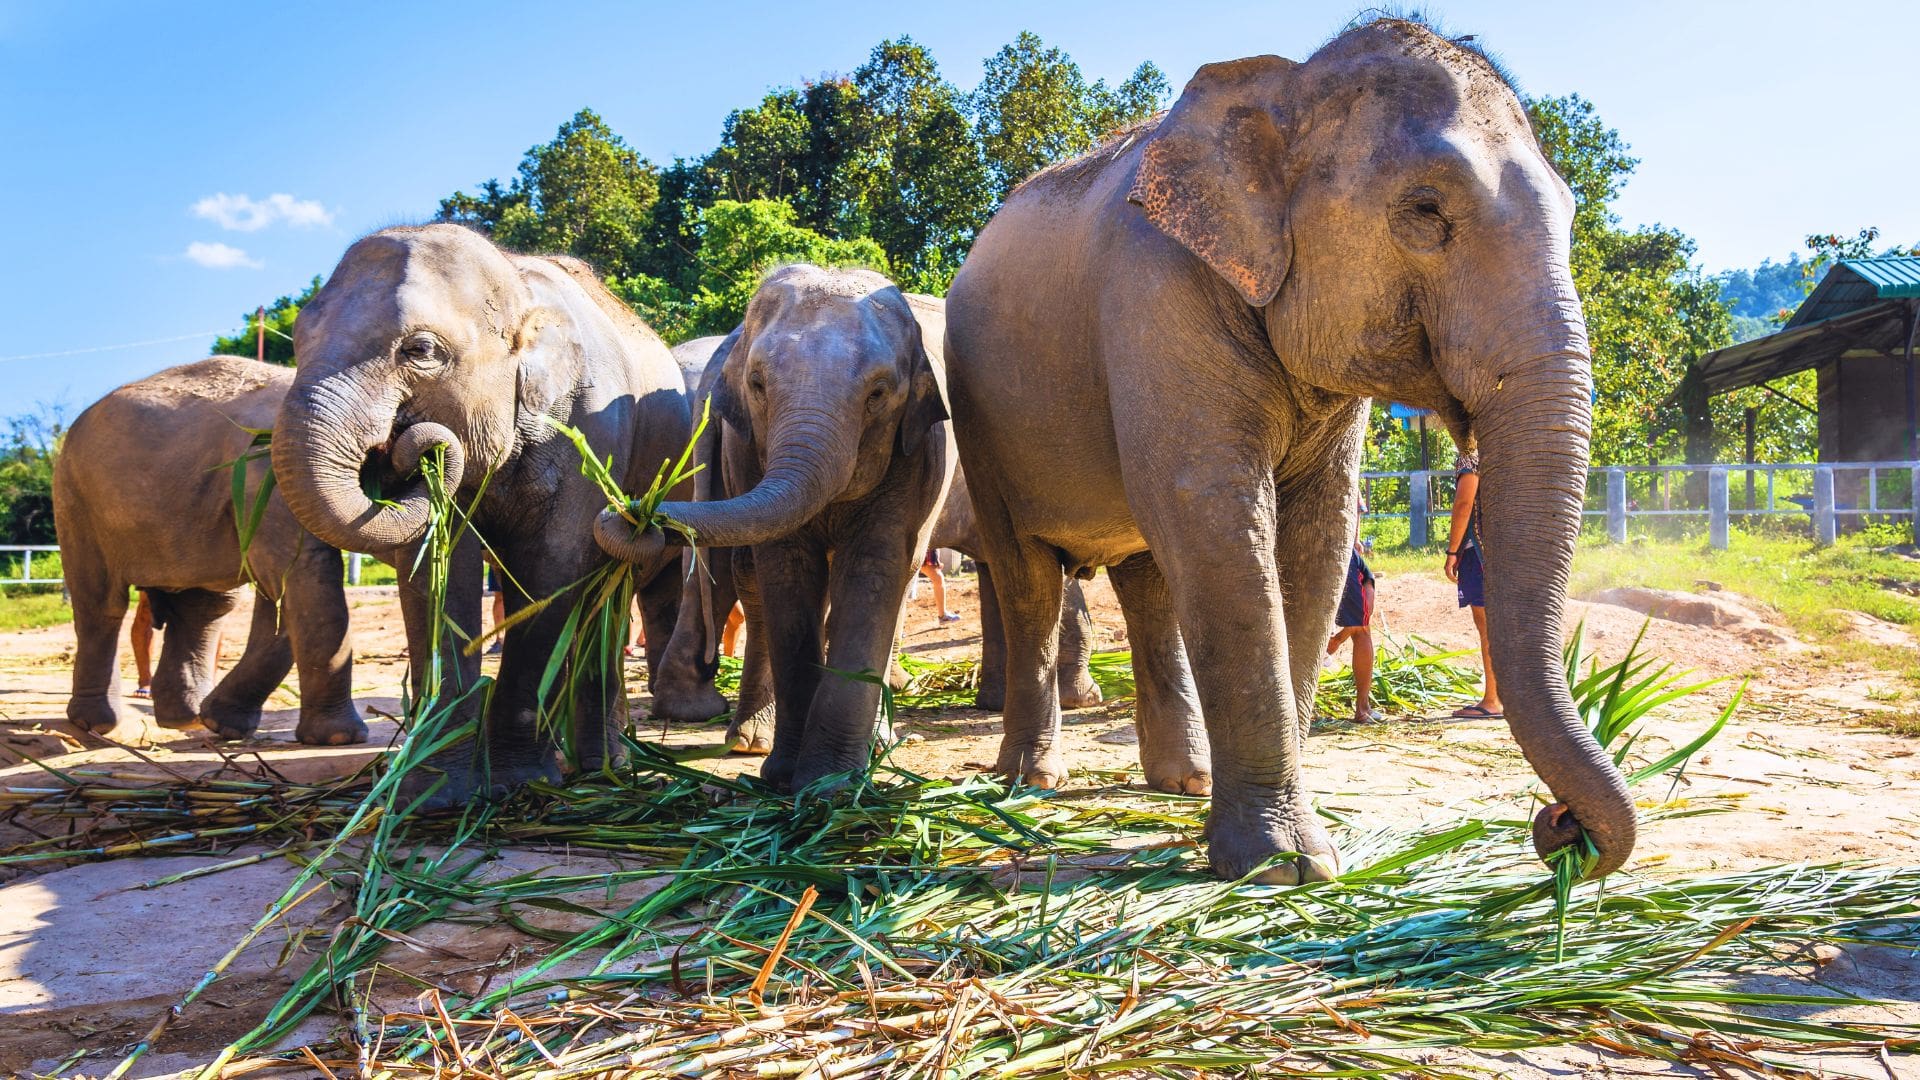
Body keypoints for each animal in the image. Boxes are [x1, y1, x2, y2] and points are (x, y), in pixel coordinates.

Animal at [52, 357, 366, 745]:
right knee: (101, 603)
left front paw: (225, 725)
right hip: (75, 500)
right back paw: (95, 724)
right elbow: (299, 574)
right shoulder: (271, 473)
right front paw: (339, 739)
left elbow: (282, 592)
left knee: (204, 607)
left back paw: (186, 719)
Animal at [271, 224, 693, 806]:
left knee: (607, 597)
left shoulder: (593, 434)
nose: (410, 447)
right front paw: (435, 795)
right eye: (299, 336)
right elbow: (437, 573)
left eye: (421, 350)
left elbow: (552, 569)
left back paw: (601, 770)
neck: (517, 286)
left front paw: (519, 783)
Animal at [594, 264, 951, 791]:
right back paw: (749, 741)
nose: (635, 515)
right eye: (758, 384)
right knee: (750, 578)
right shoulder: (746, 449)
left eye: (879, 394)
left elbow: (873, 571)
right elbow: (786, 570)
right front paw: (789, 778)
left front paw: (829, 784)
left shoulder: (915, 454)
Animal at [942, 17, 1634, 884]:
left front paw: (1294, 850)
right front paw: (1282, 866)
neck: (1287, 85)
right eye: (1426, 210)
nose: (1558, 826)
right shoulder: (1154, 292)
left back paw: (1183, 779)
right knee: (1028, 575)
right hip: (982, 423)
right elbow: (1215, 512)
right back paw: (1029, 781)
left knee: (1148, 578)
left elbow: (1318, 535)